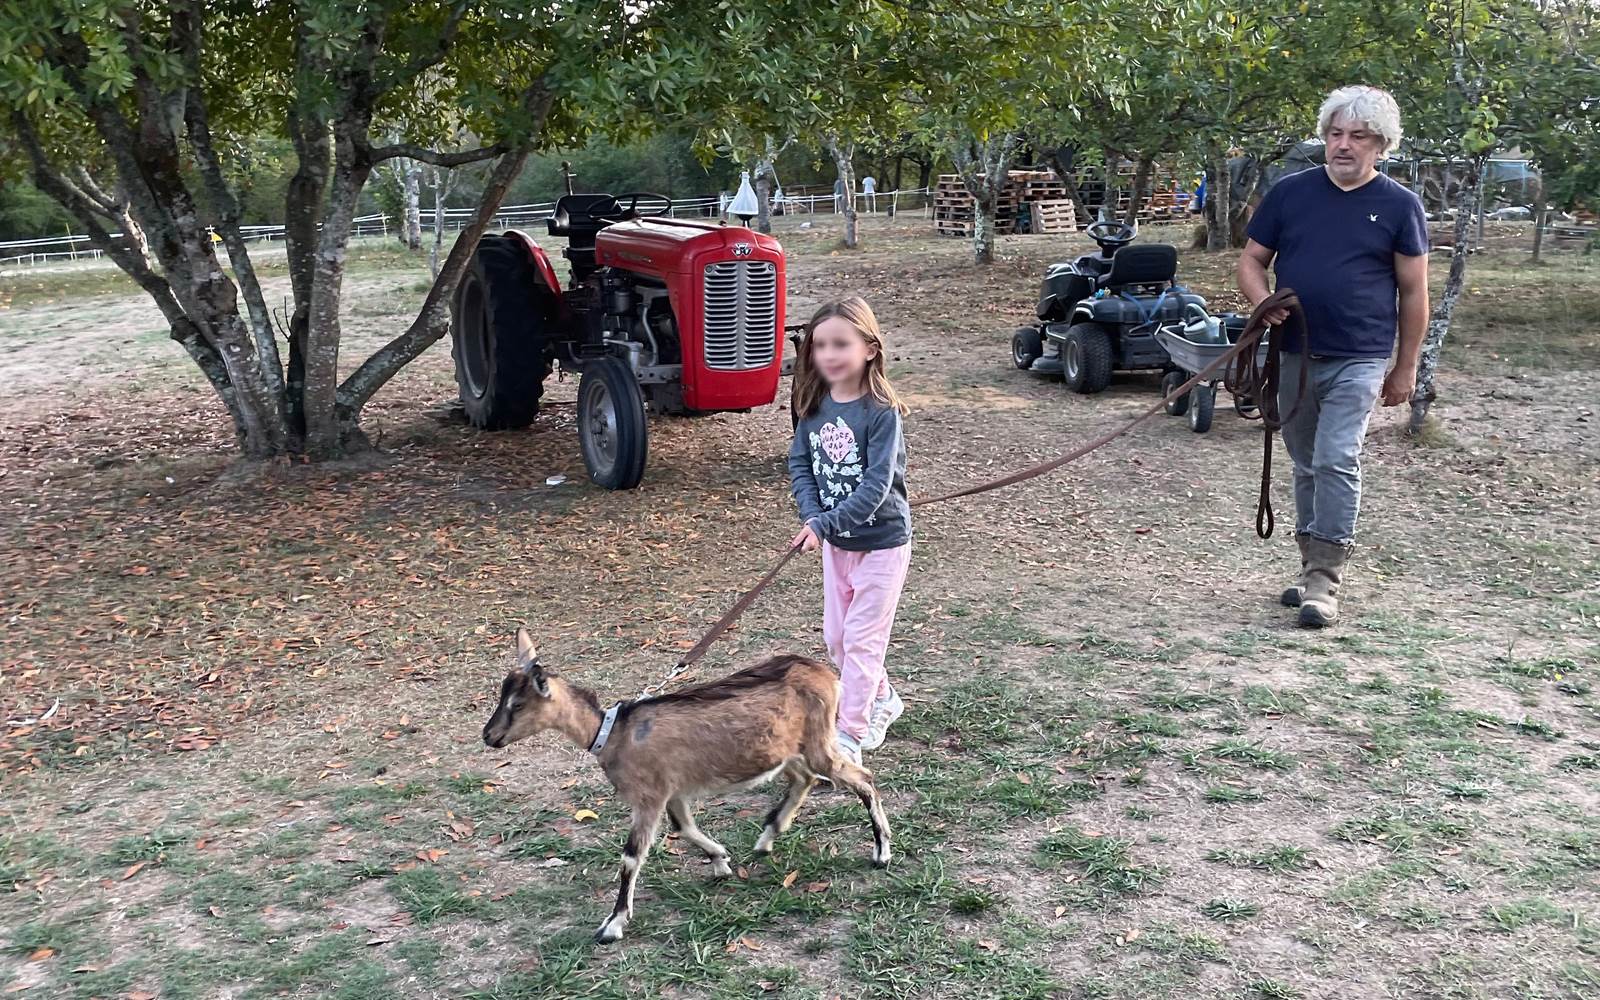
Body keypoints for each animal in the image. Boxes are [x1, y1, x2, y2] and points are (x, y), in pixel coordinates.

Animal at [480, 627, 896, 940]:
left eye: (518, 705)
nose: (489, 736)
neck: (612, 733)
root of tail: (825, 674)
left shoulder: (649, 795)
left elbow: (632, 856)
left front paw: (612, 924)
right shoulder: (673, 791)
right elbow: (684, 827)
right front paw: (721, 860)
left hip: (818, 740)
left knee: (860, 778)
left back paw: (881, 852)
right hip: (789, 747)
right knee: (804, 778)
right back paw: (766, 838)